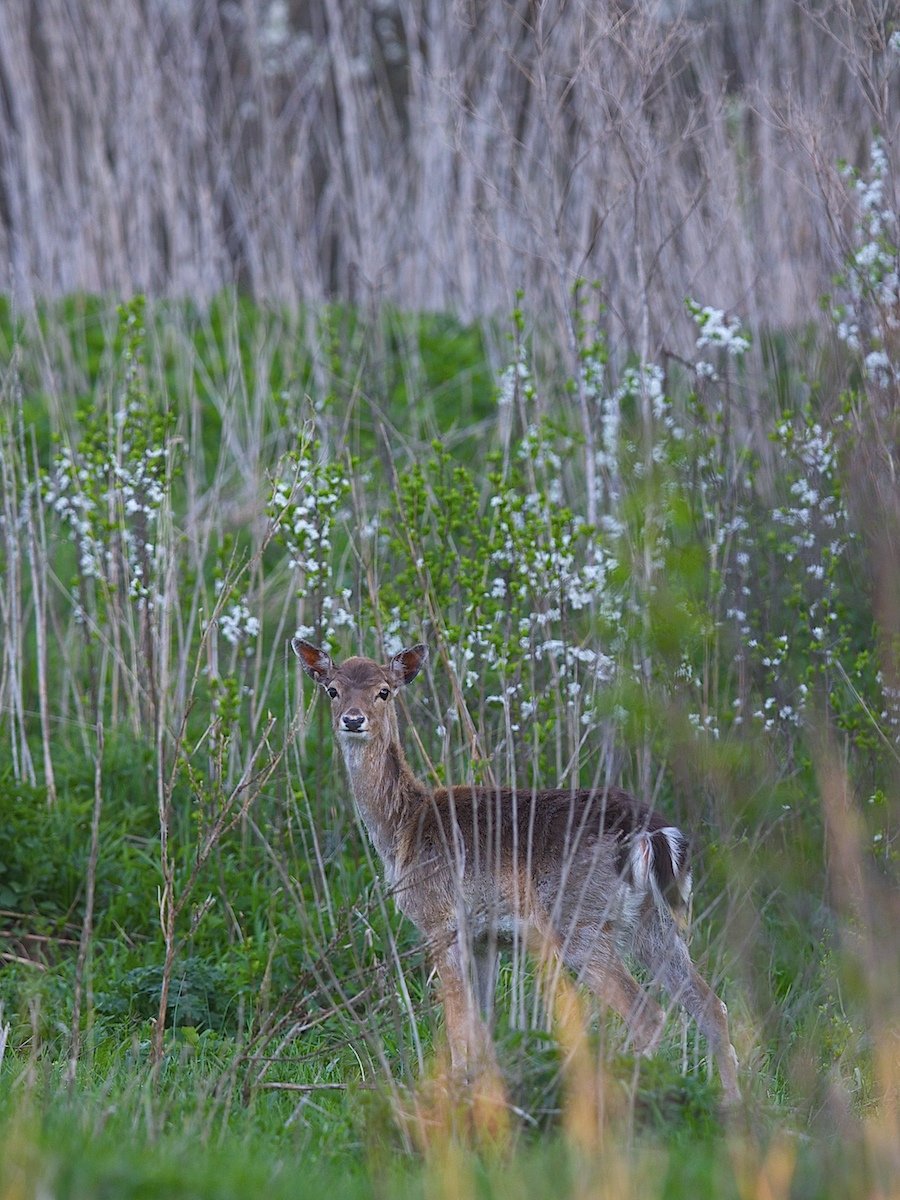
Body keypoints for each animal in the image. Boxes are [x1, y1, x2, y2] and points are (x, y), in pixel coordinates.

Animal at [292, 638, 744, 1104]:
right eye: (332, 690)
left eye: (384, 691)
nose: (353, 719)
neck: (403, 829)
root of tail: (651, 832)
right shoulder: (485, 937)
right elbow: (482, 1021)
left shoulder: (440, 919)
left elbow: (457, 1023)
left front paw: (458, 1091)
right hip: (653, 920)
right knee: (712, 1004)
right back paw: (732, 1104)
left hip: (579, 917)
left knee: (648, 1013)